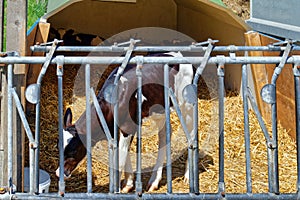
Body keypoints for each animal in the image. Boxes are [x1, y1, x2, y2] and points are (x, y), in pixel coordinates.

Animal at [55, 51, 193, 192]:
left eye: (73, 151)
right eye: (58, 147)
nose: (59, 173)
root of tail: (177, 53)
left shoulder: (128, 127)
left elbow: (120, 160)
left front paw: (119, 189)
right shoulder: (117, 130)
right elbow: (125, 155)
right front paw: (128, 184)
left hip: (186, 105)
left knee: (191, 135)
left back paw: (188, 176)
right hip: (160, 110)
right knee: (164, 135)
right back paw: (154, 181)